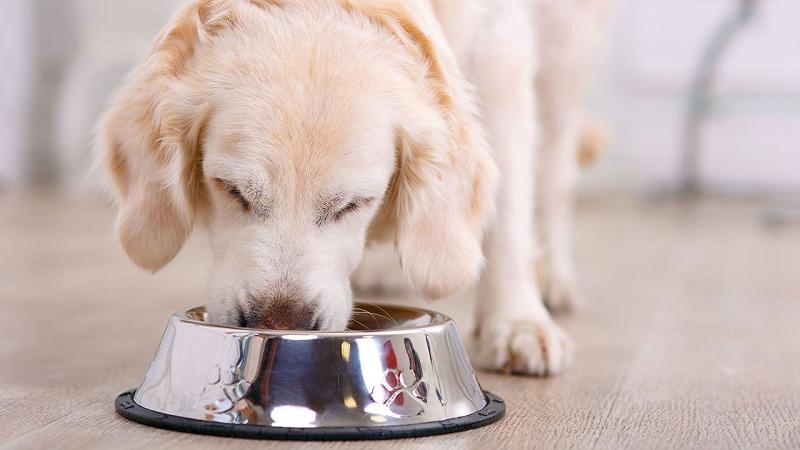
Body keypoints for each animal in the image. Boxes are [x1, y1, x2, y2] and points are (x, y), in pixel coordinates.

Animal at [95, 0, 612, 376]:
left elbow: (508, 211)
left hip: (567, 50)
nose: (279, 326)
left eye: (354, 204)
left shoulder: (500, 50)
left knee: (554, 173)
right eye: (232, 190)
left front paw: (517, 323)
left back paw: (554, 278)